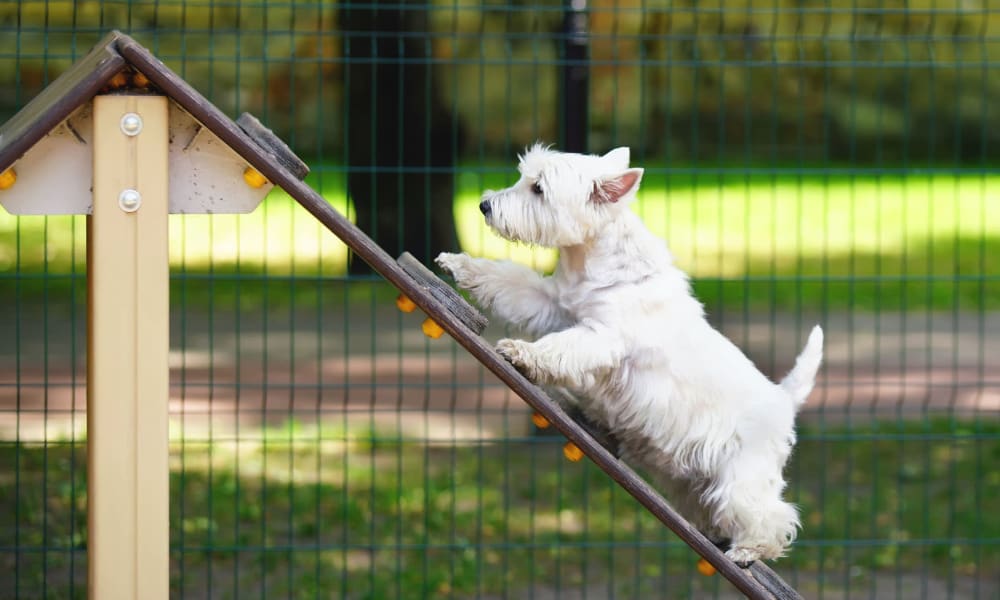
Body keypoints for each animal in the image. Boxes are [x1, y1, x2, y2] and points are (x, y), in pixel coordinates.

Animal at [436, 144, 820, 564]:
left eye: (538, 188)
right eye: (524, 178)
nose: (484, 205)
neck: (592, 261)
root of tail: (784, 398)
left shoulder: (602, 337)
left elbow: (561, 347)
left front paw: (522, 352)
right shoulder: (551, 303)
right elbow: (508, 281)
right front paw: (459, 264)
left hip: (742, 475)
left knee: (773, 515)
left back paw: (748, 550)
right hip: (692, 479)